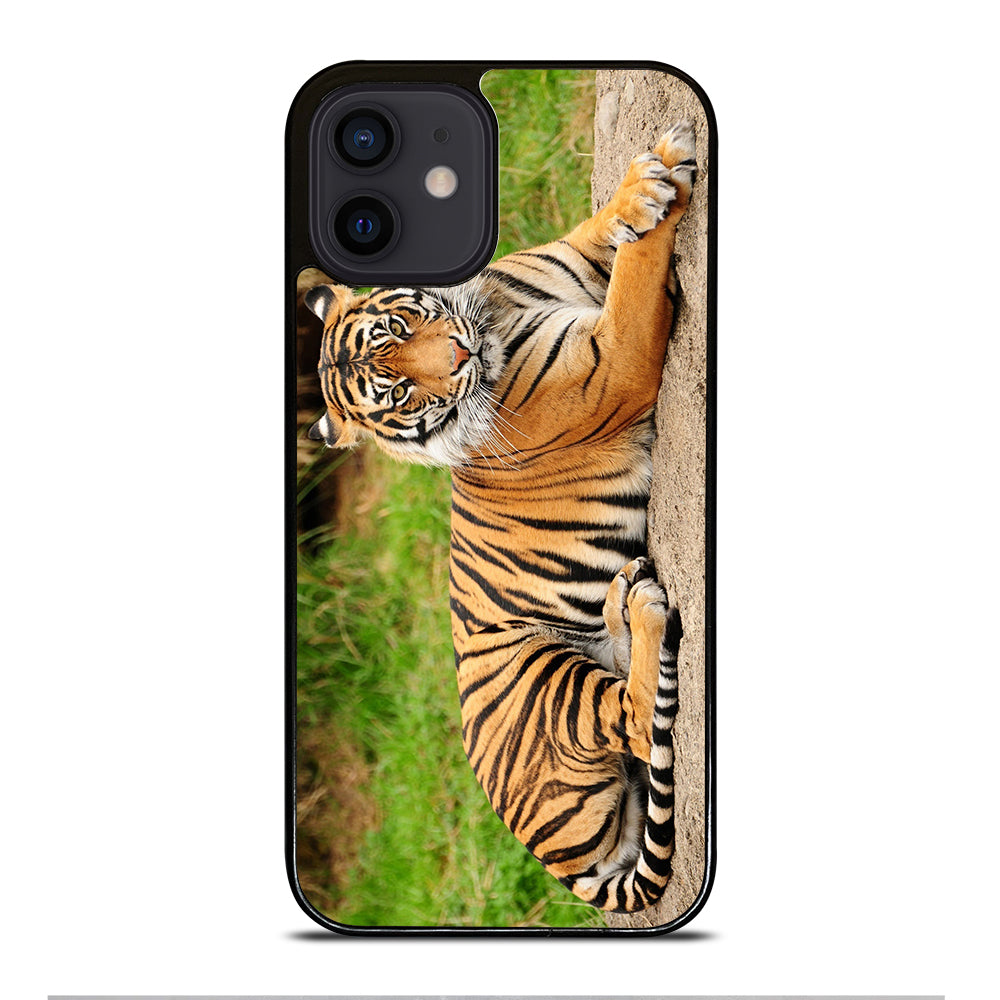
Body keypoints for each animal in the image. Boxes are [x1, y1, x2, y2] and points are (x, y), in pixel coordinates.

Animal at [304, 121, 697, 913]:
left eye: (400, 324)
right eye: (396, 392)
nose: (458, 358)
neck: (492, 311)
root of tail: (560, 865)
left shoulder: (570, 264)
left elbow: (605, 231)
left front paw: (645, 183)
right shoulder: (614, 362)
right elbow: (637, 275)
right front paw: (660, 185)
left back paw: (622, 598)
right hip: (542, 677)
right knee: (637, 719)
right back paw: (642, 608)